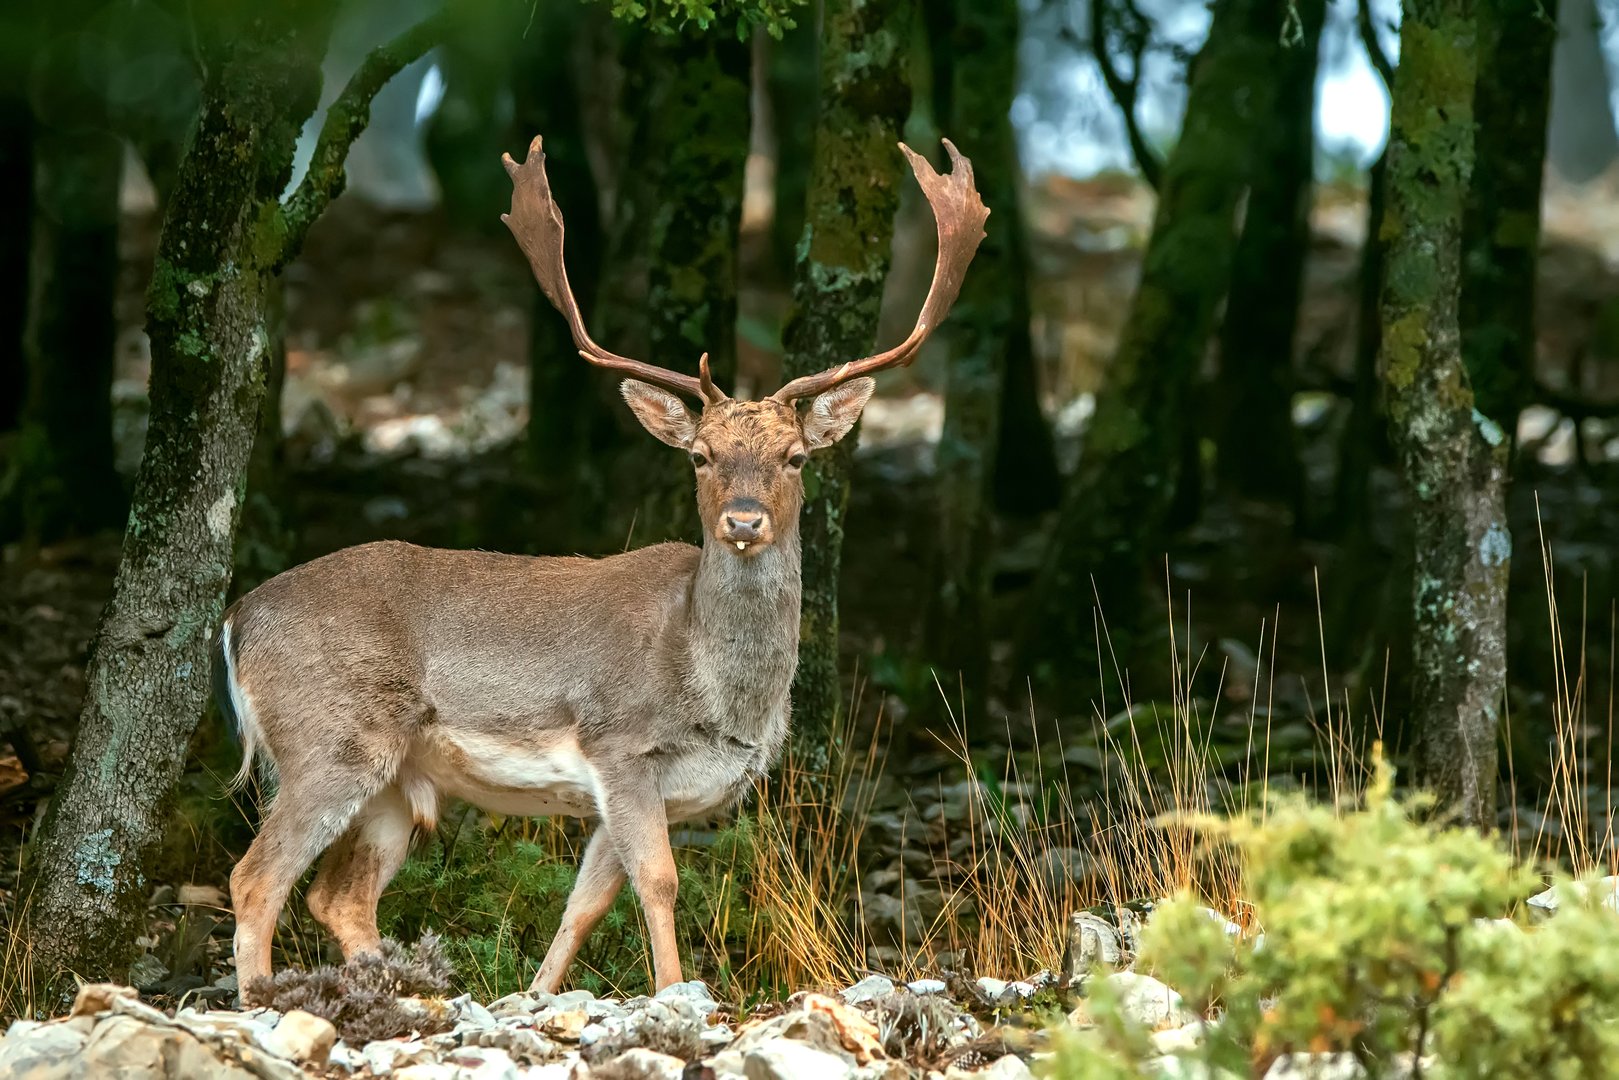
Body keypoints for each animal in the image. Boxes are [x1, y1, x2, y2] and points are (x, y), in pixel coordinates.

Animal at [215, 133, 987, 996]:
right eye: (700, 455)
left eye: (793, 457)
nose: (742, 519)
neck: (715, 689)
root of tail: (236, 619)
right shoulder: (620, 746)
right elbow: (659, 883)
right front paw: (674, 992)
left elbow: (585, 902)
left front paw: (536, 996)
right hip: (328, 738)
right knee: (255, 877)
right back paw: (260, 1000)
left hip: (393, 780)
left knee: (337, 896)